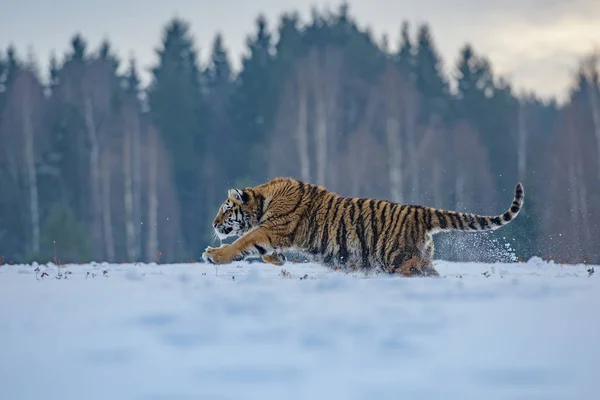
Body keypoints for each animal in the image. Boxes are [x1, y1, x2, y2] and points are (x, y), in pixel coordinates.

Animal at [202, 177, 524, 276]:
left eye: (225, 209)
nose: (213, 223)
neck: (263, 200)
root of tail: (420, 211)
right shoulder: (273, 233)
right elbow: (258, 250)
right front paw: (278, 259)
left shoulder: (271, 228)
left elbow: (241, 243)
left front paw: (213, 255)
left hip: (402, 260)